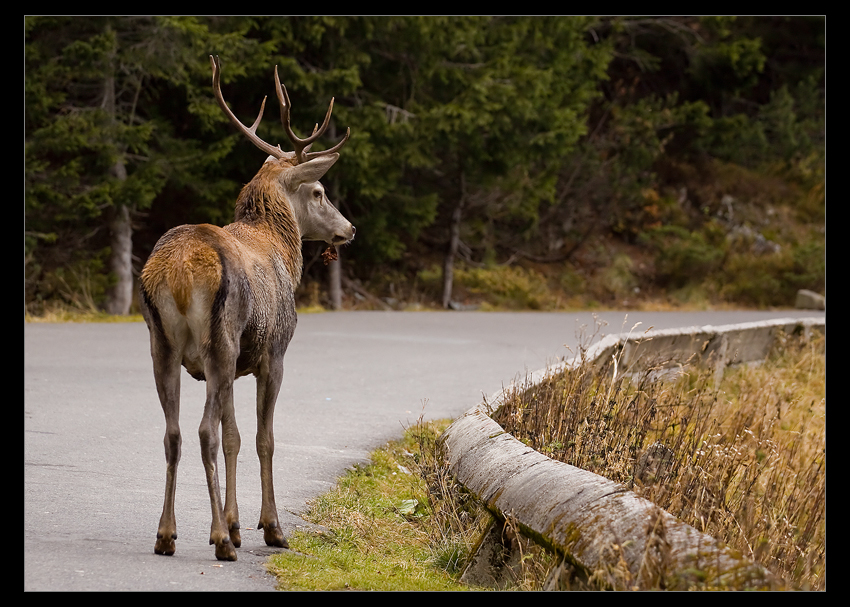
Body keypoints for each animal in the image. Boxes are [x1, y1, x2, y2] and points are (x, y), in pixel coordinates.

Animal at [139, 54, 354, 564]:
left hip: (163, 342)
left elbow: (235, 436)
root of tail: (179, 271)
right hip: (219, 337)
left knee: (174, 433)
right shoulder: (272, 353)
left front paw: (238, 524)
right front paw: (267, 527)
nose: (349, 229)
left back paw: (167, 534)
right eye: (318, 191)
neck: (283, 251)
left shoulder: (238, 362)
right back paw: (218, 540)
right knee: (203, 432)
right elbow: (262, 439)